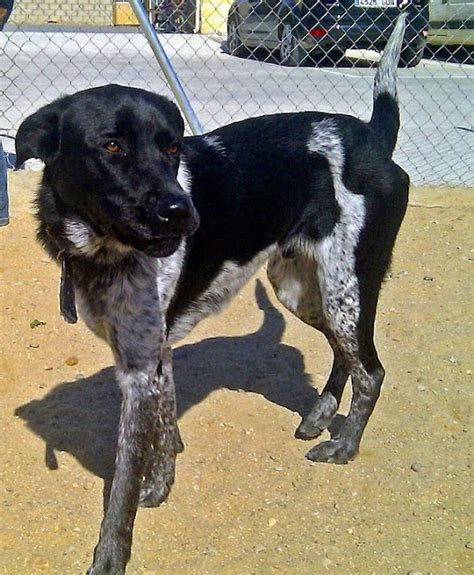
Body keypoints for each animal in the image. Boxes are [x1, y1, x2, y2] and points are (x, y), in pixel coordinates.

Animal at [13, 13, 408, 575]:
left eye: (172, 146)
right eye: (111, 146)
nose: (184, 214)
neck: (102, 247)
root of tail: (372, 136)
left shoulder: (139, 368)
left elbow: (123, 484)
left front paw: (111, 556)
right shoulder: (151, 356)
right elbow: (162, 431)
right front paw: (162, 483)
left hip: (344, 286)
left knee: (371, 370)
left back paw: (345, 445)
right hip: (301, 289)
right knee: (342, 353)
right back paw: (319, 418)